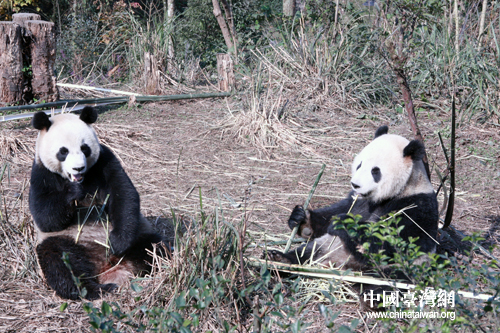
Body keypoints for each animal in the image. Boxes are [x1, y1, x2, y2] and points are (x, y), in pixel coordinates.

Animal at [29, 107, 166, 300]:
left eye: (84, 148)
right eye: (63, 151)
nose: (78, 168)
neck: (82, 179)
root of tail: (106, 266)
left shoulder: (104, 161)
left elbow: (124, 195)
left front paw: (117, 243)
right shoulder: (41, 174)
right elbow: (45, 216)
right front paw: (73, 191)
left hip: (140, 232)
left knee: (152, 247)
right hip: (69, 241)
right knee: (60, 262)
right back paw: (96, 289)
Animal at [266, 126, 438, 272]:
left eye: (375, 171)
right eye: (359, 165)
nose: (355, 184)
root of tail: (335, 263)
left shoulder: (417, 207)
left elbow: (391, 244)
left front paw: (342, 223)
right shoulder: (356, 201)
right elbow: (331, 215)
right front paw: (300, 218)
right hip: (326, 245)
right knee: (309, 250)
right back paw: (280, 257)